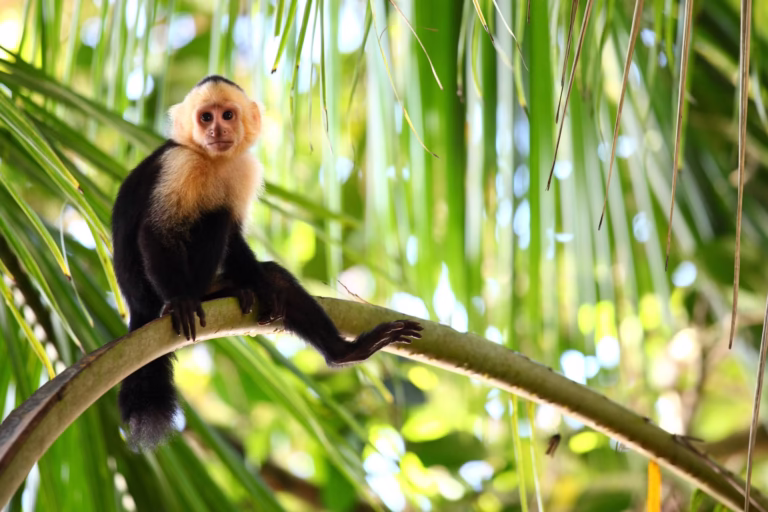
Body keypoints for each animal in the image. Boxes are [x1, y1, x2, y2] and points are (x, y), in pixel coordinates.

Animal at [112, 75, 422, 450]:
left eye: (227, 115)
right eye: (205, 117)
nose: (216, 130)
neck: (212, 161)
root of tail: (137, 310)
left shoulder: (243, 170)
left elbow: (236, 239)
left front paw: (261, 287)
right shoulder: (180, 164)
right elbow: (158, 232)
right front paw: (180, 300)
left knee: (273, 275)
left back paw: (341, 349)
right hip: (149, 292)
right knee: (213, 215)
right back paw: (196, 297)